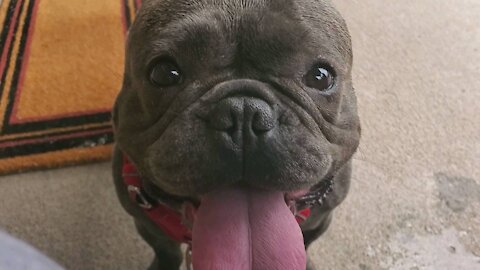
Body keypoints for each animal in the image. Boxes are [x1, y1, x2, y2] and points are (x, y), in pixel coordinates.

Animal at [112, 1, 360, 268]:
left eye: (320, 76)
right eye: (164, 73)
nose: (244, 111)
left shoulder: (319, 220)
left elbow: (305, 242)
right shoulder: (147, 224)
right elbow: (166, 250)